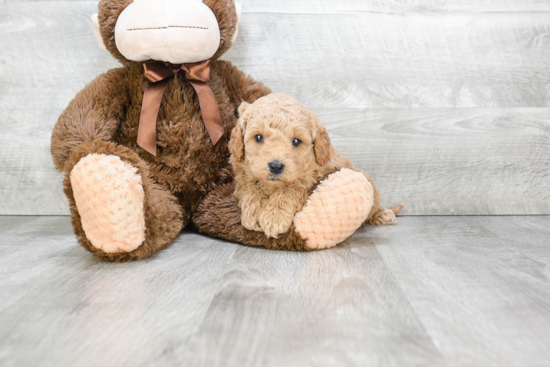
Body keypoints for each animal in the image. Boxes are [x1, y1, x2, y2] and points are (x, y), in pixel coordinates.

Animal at [229, 93, 402, 240]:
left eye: (296, 141)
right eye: (258, 137)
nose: (276, 166)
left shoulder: (309, 178)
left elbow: (290, 189)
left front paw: (274, 217)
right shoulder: (242, 177)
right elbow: (250, 189)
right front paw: (252, 213)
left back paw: (383, 214)